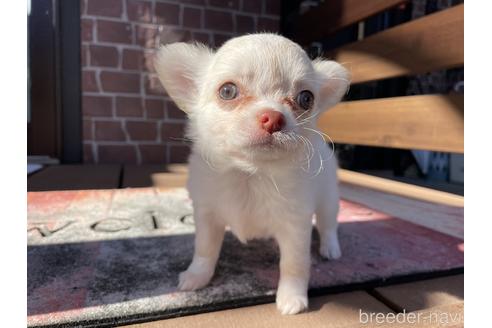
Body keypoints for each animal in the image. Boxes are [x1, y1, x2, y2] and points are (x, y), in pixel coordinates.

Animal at [155, 33, 350, 316]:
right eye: (227, 91)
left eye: (306, 98)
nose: (274, 118)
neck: (251, 173)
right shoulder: (207, 214)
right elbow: (205, 249)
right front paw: (197, 276)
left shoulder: (296, 224)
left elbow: (294, 263)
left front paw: (292, 297)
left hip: (329, 198)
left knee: (328, 224)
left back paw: (330, 248)